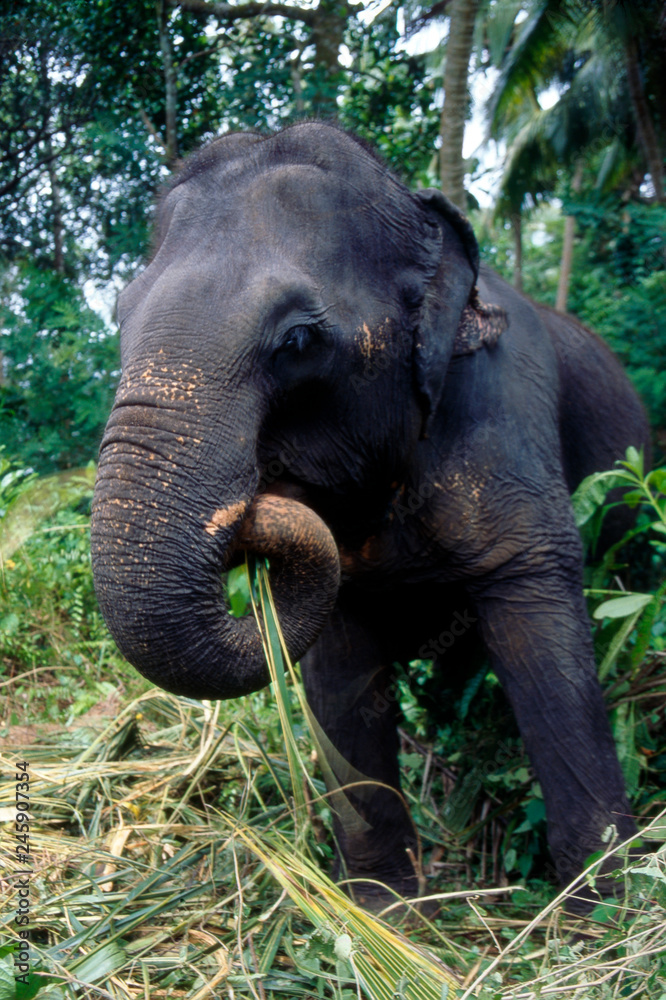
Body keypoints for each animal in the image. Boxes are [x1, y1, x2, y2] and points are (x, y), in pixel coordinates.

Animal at [91, 122, 650, 912]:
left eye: (297, 341)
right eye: (119, 318)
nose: (252, 504)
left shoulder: (504, 415)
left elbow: (538, 622)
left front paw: (601, 911)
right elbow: (342, 670)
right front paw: (384, 908)